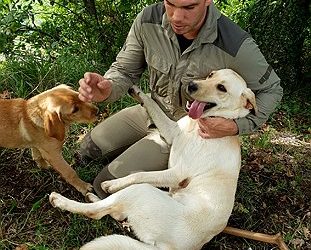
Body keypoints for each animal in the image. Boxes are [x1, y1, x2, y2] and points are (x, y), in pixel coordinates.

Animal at [49, 69, 258, 250]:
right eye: (211, 75)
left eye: (222, 88)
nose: (190, 85)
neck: (197, 126)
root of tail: (170, 249)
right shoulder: (172, 131)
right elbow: (153, 105)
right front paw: (137, 91)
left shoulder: (176, 173)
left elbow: (138, 175)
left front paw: (113, 184)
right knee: (111, 210)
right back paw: (92, 197)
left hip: (141, 192)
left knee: (98, 211)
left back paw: (62, 200)